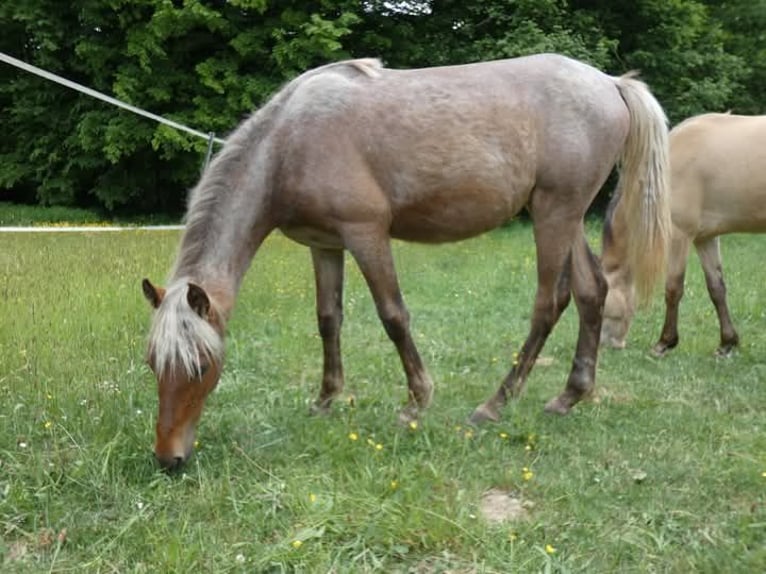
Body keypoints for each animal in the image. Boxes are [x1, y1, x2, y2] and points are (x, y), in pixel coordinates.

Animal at [142, 54, 671, 469]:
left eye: (199, 366)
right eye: (152, 364)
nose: (169, 458)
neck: (292, 140)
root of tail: (610, 82)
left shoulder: (366, 234)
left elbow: (393, 316)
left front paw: (416, 403)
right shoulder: (324, 245)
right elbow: (328, 319)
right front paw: (326, 399)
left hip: (554, 214)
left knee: (549, 302)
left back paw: (493, 405)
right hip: (566, 215)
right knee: (591, 291)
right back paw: (569, 396)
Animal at [601, 113, 766, 356]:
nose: (607, 345)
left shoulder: (679, 236)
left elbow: (673, 288)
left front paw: (664, 342)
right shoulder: (705, 239)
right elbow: (717, 288)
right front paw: (727, 343)